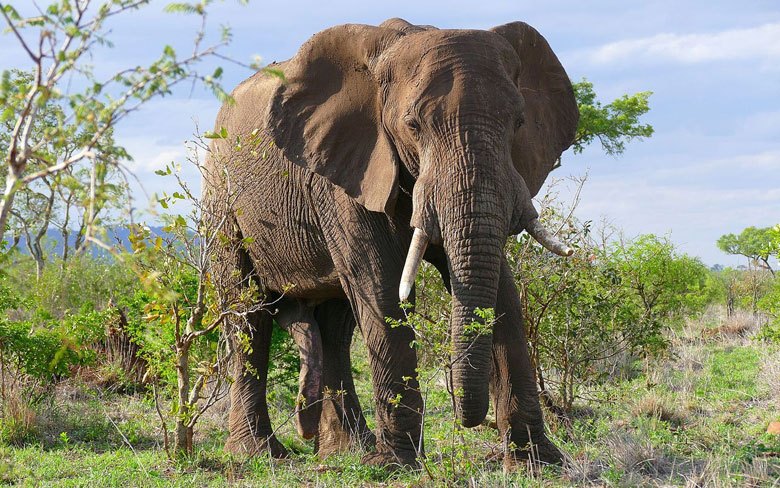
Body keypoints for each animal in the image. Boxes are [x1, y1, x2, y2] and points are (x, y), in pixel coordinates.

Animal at [204, 17, 576, 468]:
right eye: (413, 125)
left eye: (519, 122)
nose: (467, 418)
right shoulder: (346, 174)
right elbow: (382, 287)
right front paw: (396, 465)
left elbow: (502, 289)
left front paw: (538, 462)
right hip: (222, 200)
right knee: (249, 313)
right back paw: (260, 455)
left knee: (336, 325)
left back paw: (347, 450)